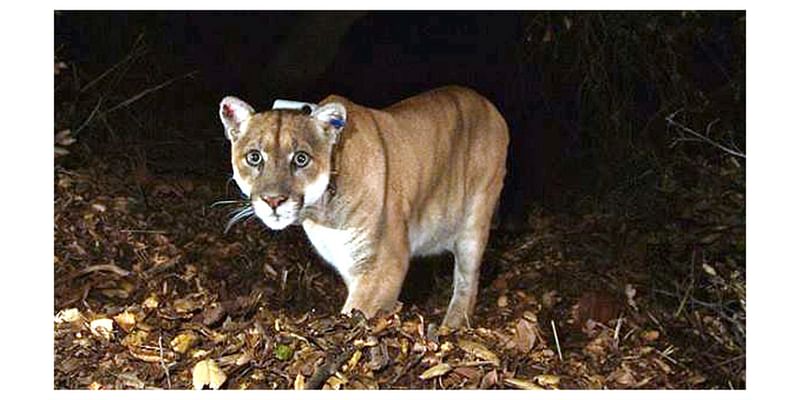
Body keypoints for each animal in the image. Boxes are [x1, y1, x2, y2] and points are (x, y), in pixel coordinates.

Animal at [219, 86, 506, 326]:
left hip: (475, 221)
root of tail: (487, 103)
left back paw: (452, 325)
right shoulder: (351, 263)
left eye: (301, 159)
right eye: (254, 157)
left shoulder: (384, 264)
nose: (273, 200)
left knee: (468, 281)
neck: (322, 214)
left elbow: (357, 311)